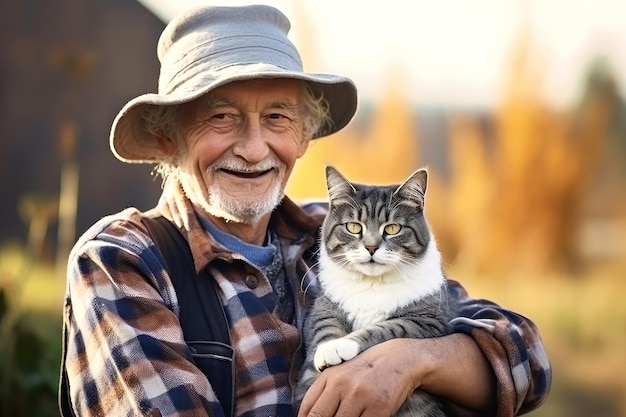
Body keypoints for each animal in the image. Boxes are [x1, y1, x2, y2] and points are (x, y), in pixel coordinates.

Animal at [294, 166, 450, 416]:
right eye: (354, 227)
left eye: (393, 228)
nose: (371, 247)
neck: (372, 283)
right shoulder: (324, 309)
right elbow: (325, 328)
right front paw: (326, 352)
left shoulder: (426, 321)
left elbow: (384, 328)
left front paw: (339, 347)